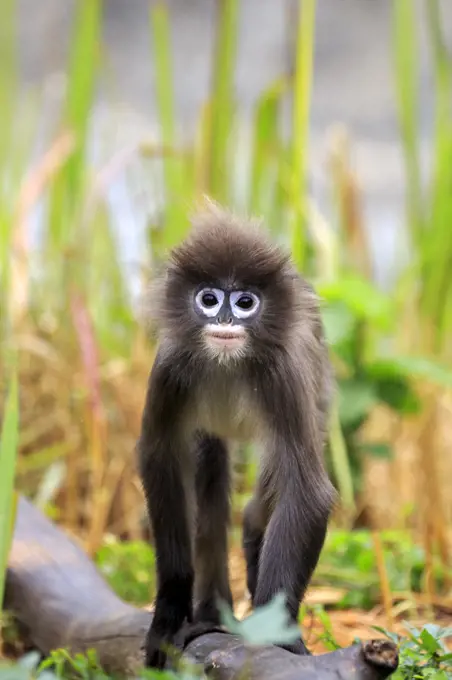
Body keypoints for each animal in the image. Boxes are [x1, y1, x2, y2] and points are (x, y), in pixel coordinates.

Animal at [138, 201, 336, 668]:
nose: (226, 319)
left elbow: (307, 491)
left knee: (264, 497)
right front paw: (169, 614)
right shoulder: (170, 369)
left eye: (245, 302)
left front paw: (274, 636)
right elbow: (161, 462)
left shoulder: (283, 375)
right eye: (209, 299)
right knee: (211, 480)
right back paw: (212, 615)